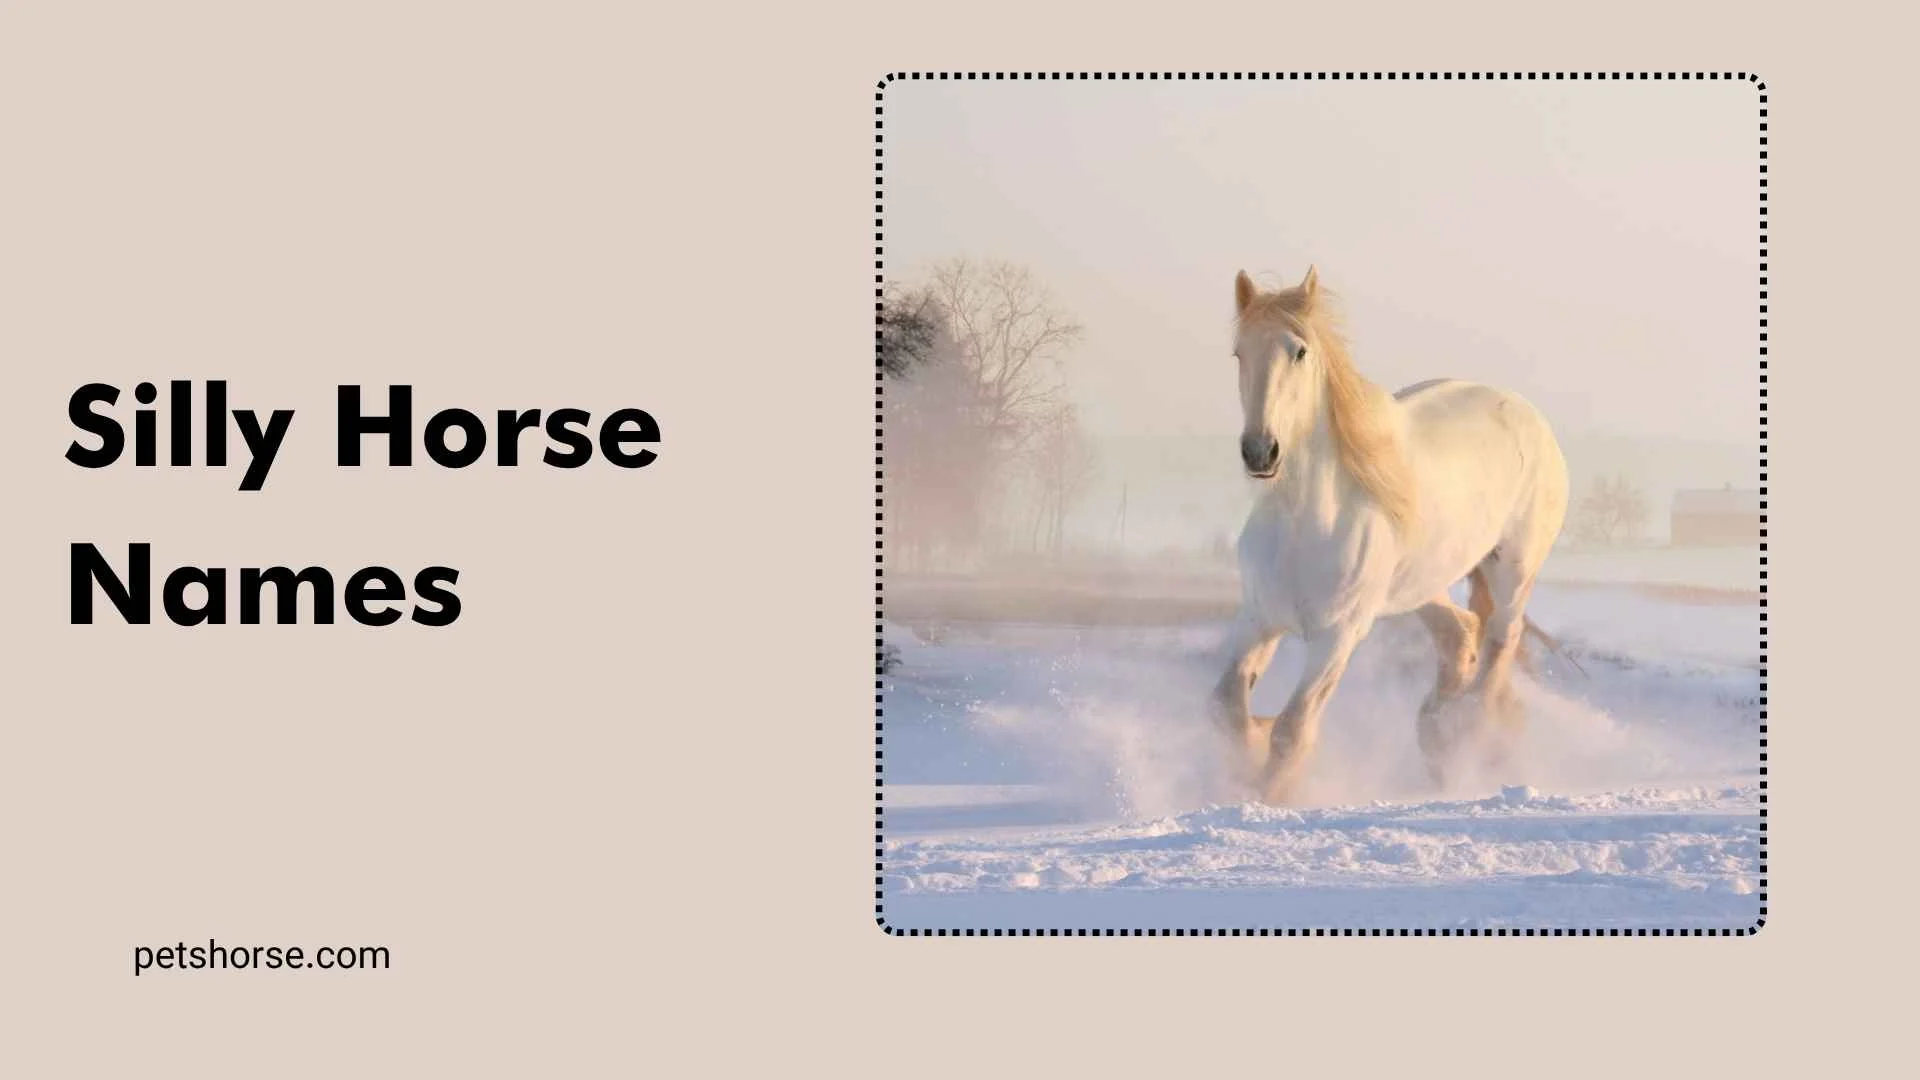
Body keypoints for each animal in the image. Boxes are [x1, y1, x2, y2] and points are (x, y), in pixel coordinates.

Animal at [1210, 266, 1571, 804]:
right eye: (1239, 353)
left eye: (1299, 351)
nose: (1260, 451)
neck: (1304, 524)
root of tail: (1529, 415)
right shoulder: (1257, 618)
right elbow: (1228, 709)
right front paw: (1251, 751)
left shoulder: (1338, 636)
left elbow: (1292, 731)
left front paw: (1269, 795)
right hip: (1421, 585)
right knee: (1461, 634)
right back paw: (1437, 732)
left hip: (1513, 570)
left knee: (1498, 646)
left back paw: (1464, 734)